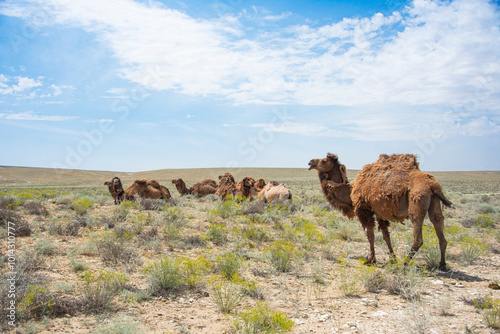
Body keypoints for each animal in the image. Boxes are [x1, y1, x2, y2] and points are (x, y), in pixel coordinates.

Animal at [308, 154, 454, 272]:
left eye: (323, 161)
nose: (310, 162)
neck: (351, 191)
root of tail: (432, 184)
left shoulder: (365, 210)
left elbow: (370, 236)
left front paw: (371, 260)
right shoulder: (379, 212)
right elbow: (386, 236)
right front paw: (392, 258)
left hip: (417, 201)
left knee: (418, 236)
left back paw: (405, 263)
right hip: (434, 203)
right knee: (438, 226)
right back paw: (442, 264)